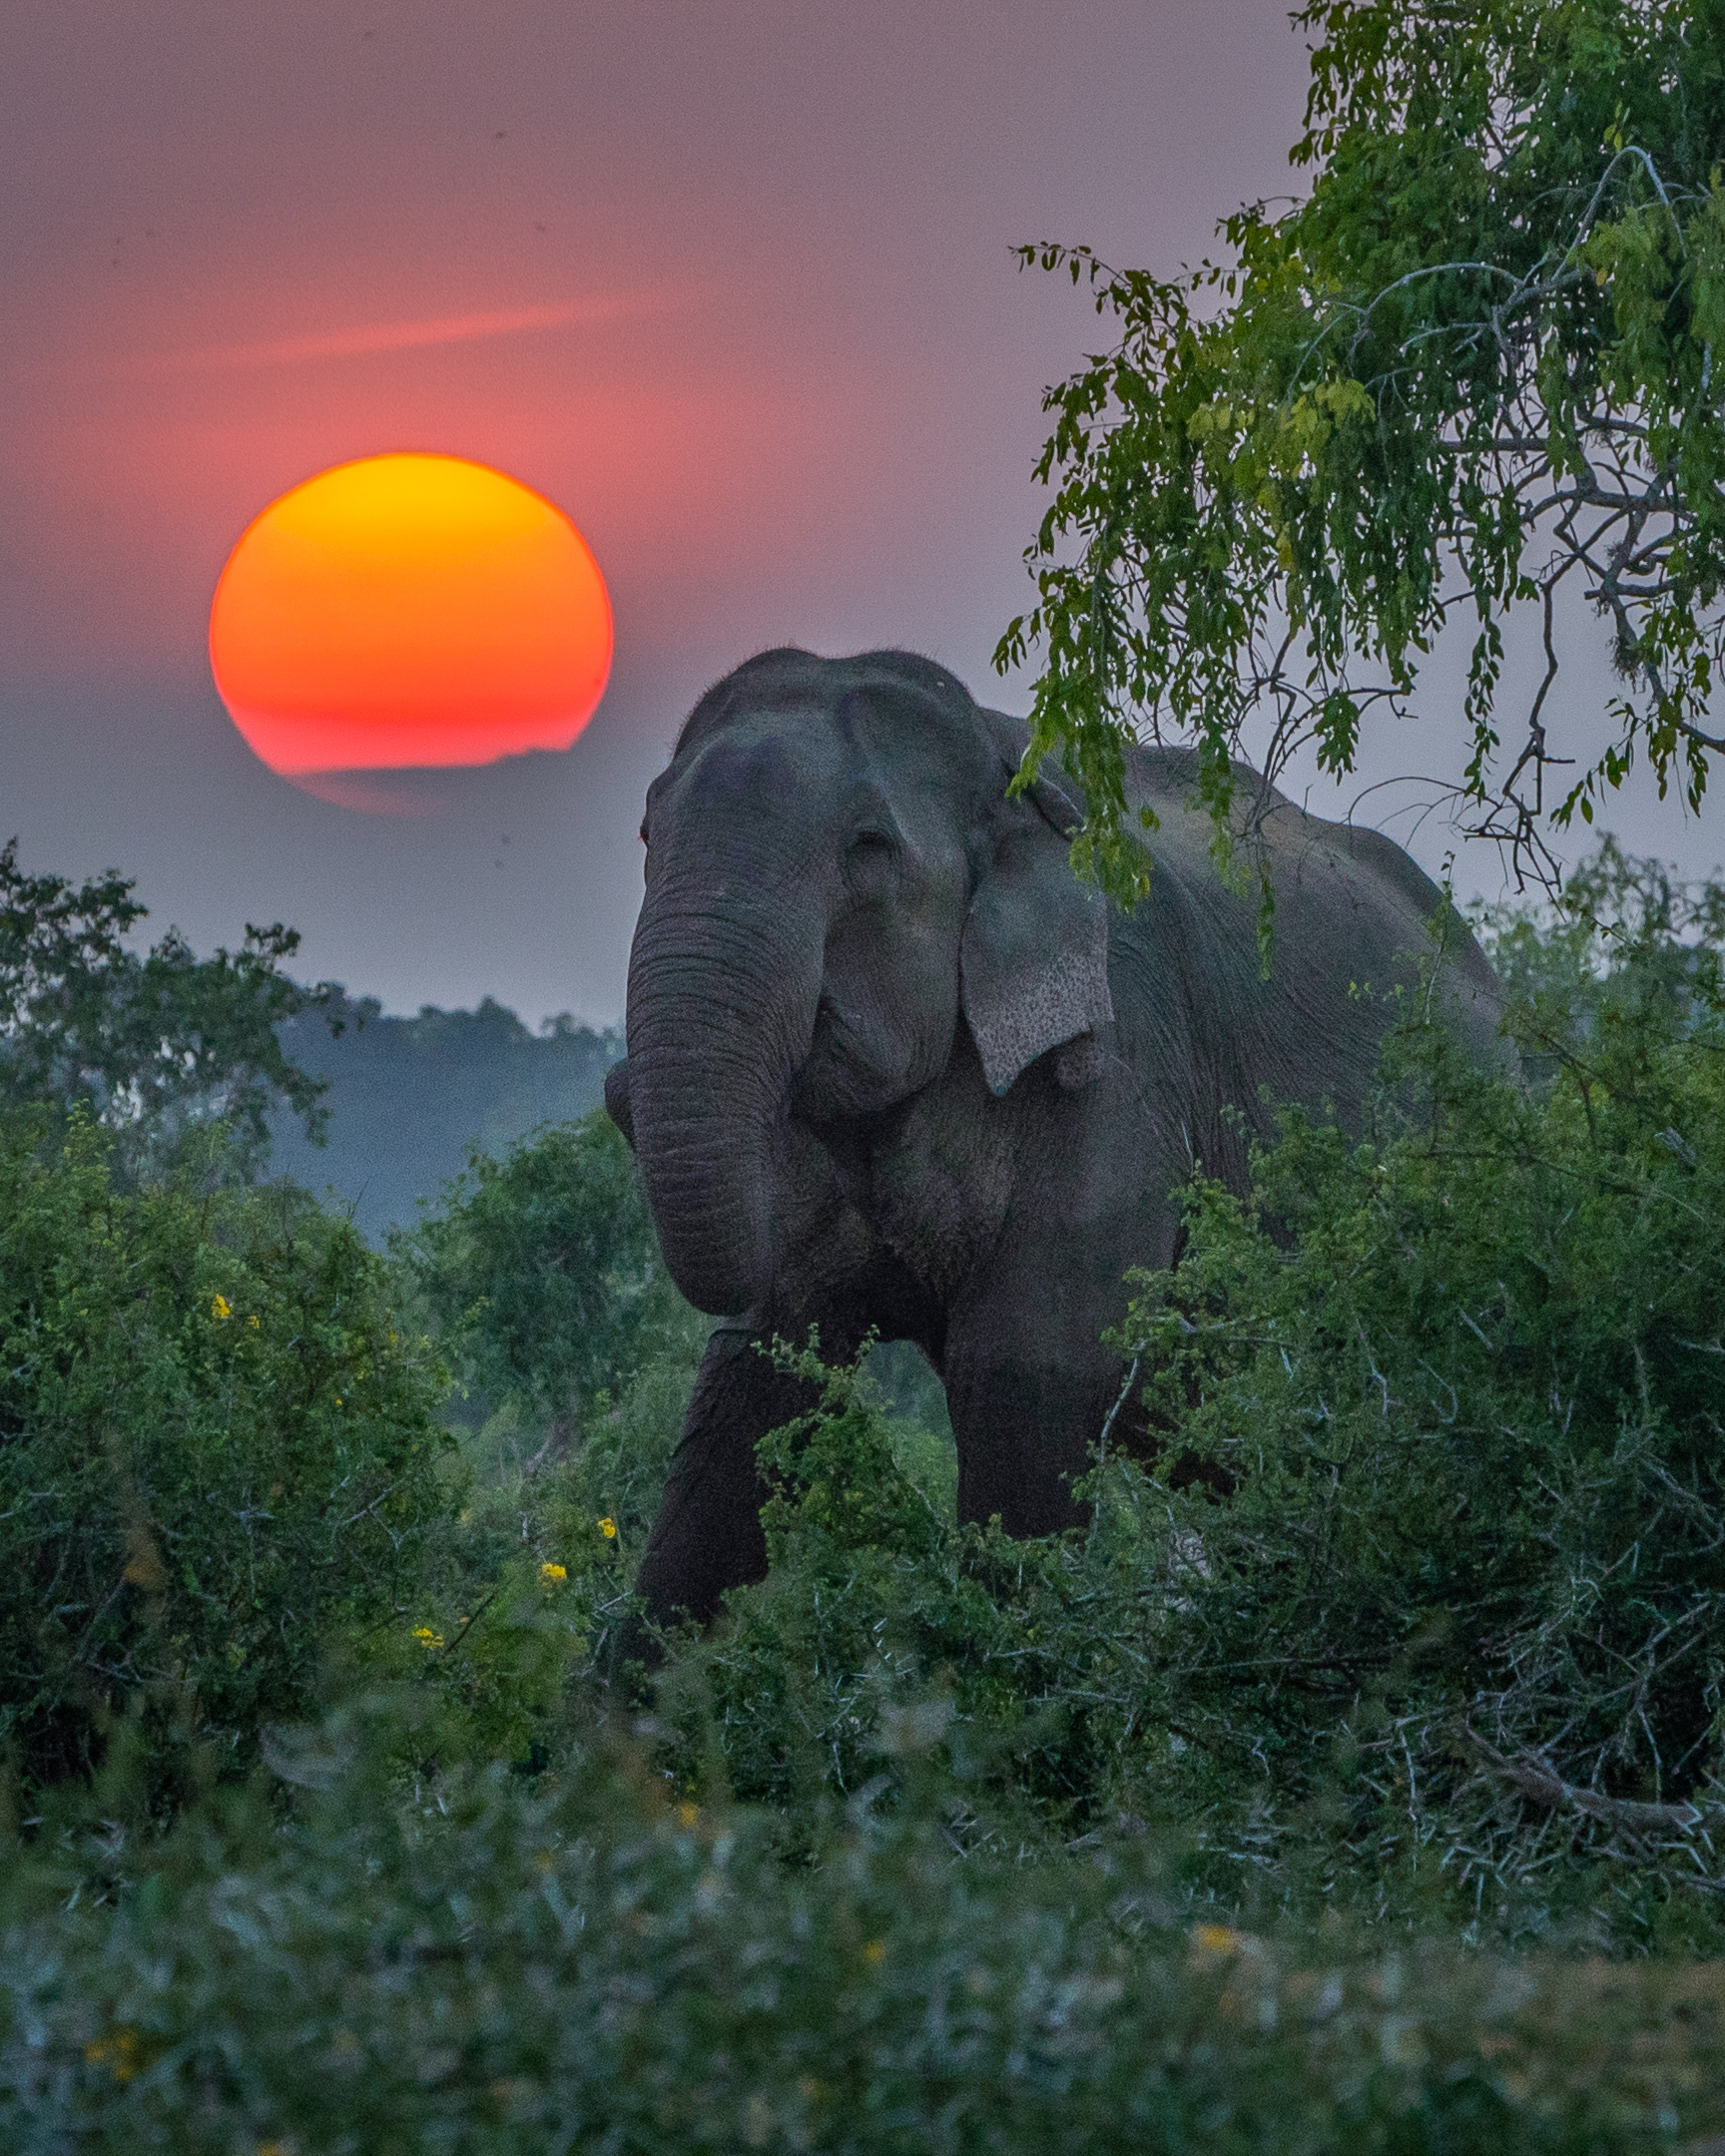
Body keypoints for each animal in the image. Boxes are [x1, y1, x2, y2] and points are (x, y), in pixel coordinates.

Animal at [604, 645, 1506, 1636]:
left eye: (869, 848)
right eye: (644, 835)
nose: (615, 1093)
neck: (1004, 762)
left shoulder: (1125, 1047)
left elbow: (1028, 1374)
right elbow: (753, 1384)